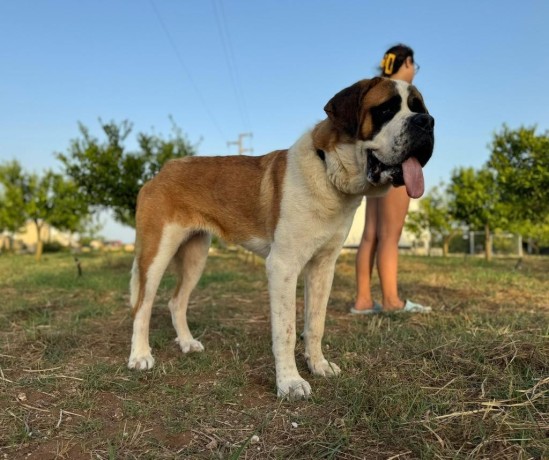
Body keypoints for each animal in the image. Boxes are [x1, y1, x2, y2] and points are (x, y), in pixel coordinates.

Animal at [127, 76, 432, 398]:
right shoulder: (283, 266)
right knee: (142, 305)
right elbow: (286, 330)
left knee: (176, 302)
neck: (328, 169)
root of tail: (163, 170)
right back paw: (140, 356)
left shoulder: (323, 267)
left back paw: (186, 343)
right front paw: (290, 382)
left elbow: (315, 323)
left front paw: (318, 365)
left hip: (196, 257)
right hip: (156, 254)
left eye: (419, 108)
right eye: (386, 109)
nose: (426, 122)